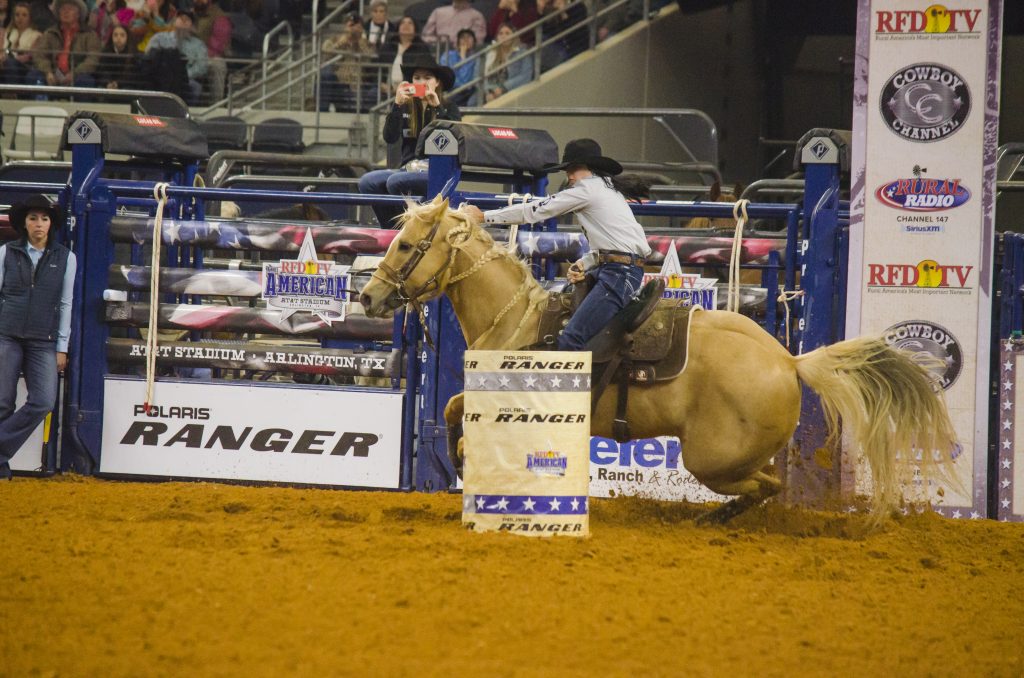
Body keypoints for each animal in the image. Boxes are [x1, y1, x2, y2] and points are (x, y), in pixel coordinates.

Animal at [360, 196, 958, 524]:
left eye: (407, 245)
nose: (367, 297)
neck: (521, 321)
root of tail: (790, 361)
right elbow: (456, 410)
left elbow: (458, 417)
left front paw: (464, 465)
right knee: (769, 485)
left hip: (712, 460)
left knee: (767, 488)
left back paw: (715, 519)